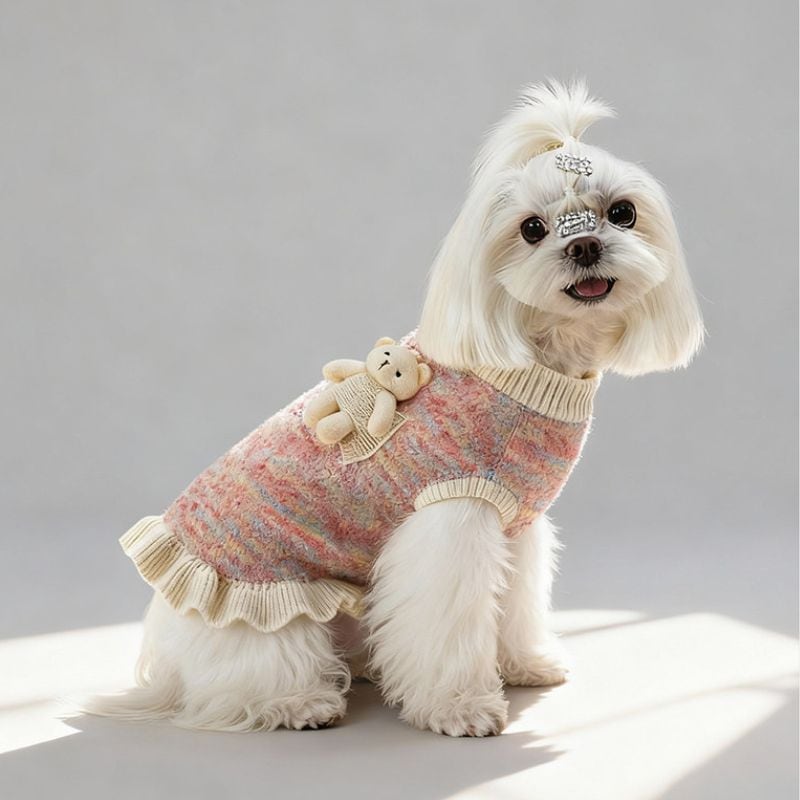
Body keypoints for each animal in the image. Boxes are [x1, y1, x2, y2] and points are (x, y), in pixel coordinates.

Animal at [87, 80, 703, 737]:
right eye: (532, 228)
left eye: (622, 213)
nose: (584, 245)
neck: (536, 363)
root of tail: (166, 665)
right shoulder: (453, 520)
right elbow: (449, 621)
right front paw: (461, 706)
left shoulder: (516, 524)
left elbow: (515, 603)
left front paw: (525, 663)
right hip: (265, 610)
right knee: (238, 684)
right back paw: (301, 703)